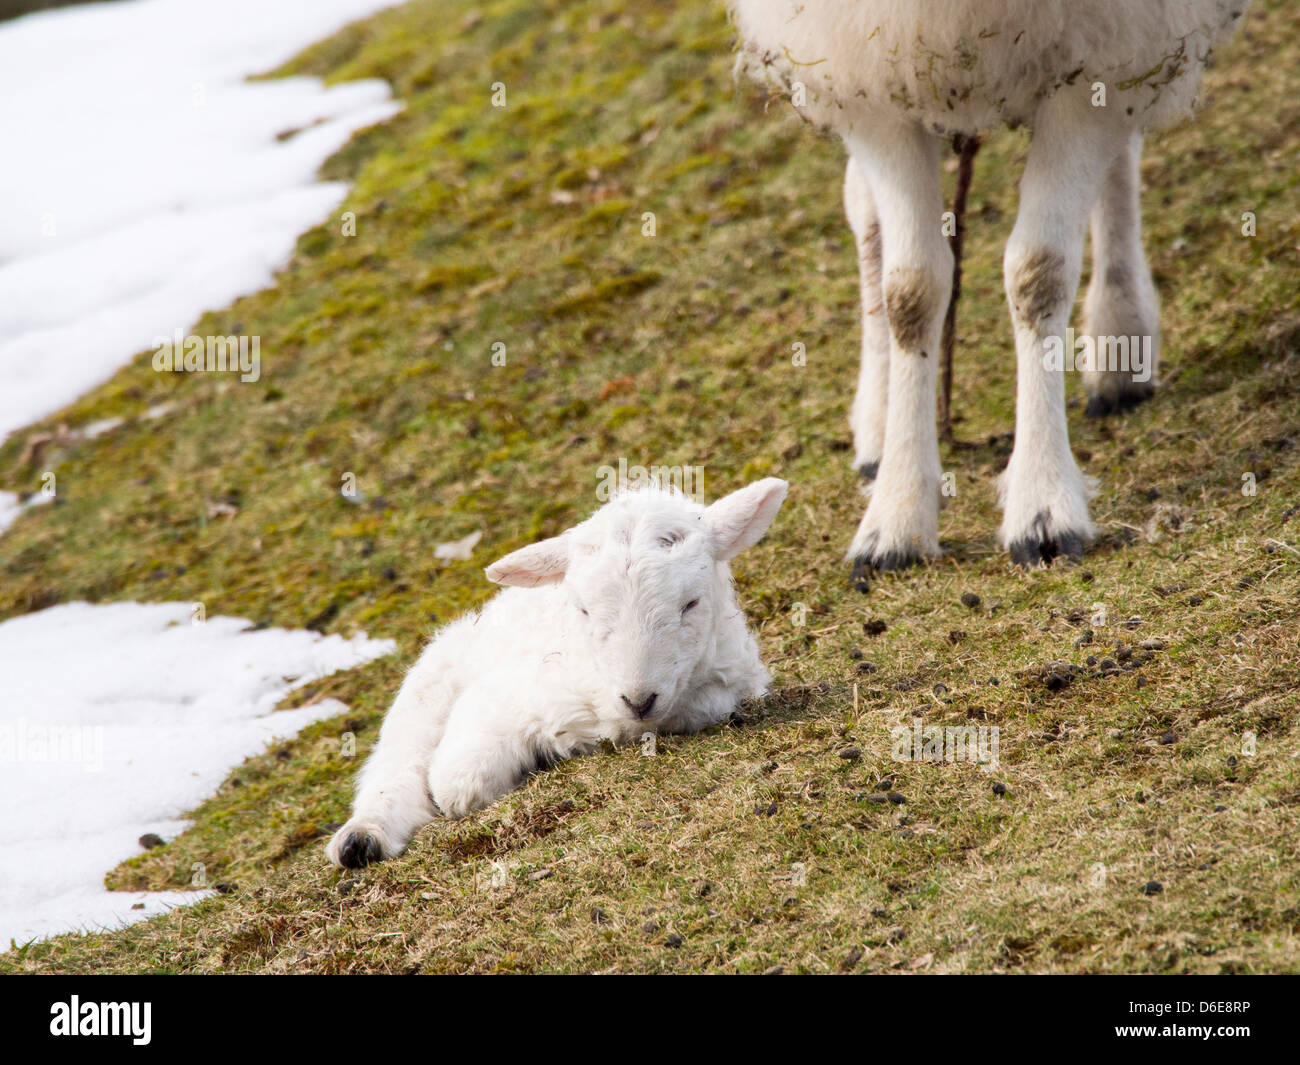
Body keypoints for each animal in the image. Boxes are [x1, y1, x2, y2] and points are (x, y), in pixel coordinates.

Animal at [330, 475, 785, 868]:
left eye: (691, 603)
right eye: (583, 610)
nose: (639, 700)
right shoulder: (505, 694)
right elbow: (458, 782)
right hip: (428, 691)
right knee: (395, 765)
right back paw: (359, 840)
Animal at [733, 2, 1248, 582]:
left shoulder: (1097, 56)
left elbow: (1038, 272)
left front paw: (1042, 504)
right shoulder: (871, 70)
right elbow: (910, 293)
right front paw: (896, 516)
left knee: (1122, 143)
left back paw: (1121, 340)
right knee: (863, 208)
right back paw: (876, 425)